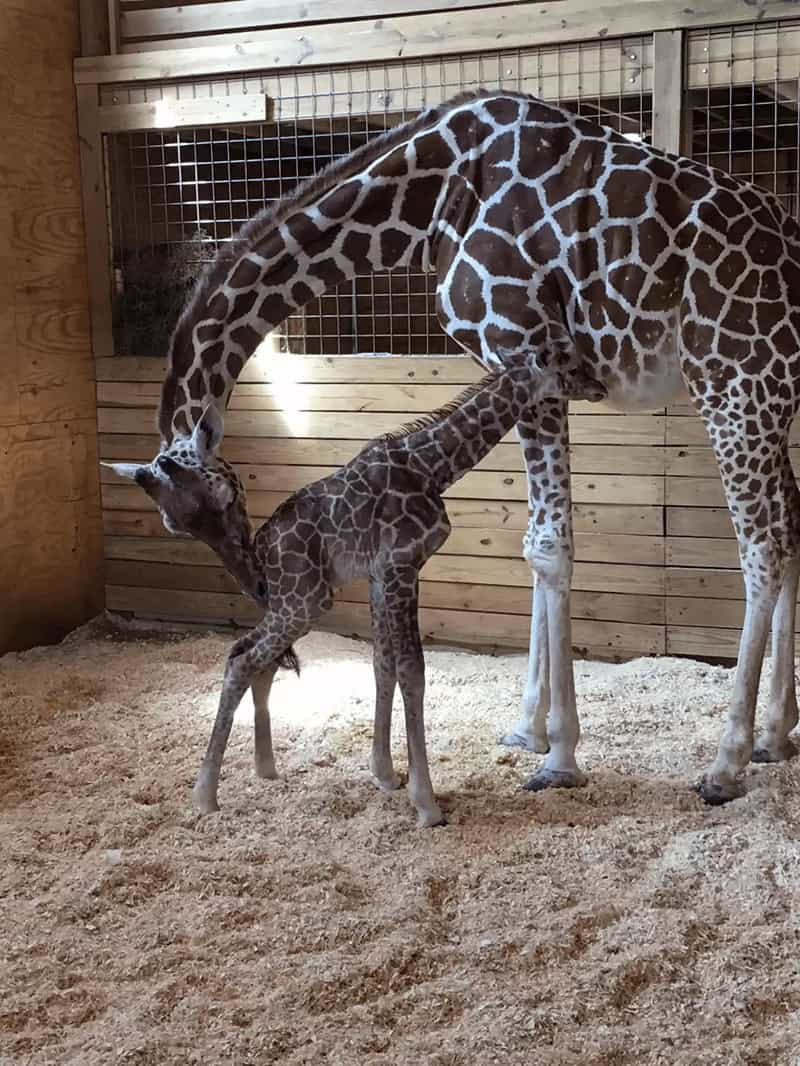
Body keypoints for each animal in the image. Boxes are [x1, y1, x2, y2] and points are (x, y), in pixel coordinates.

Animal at [107, 354, 605, 826]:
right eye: (567, 366)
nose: (599, 386)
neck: (433, 468)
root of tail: (262, 551)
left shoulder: (384, 574)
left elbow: (383, 665)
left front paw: (385, 775)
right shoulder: (401, 564)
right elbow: (412, 671)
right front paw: (426, 804)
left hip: (298, 601)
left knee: (254, 656)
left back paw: (264, 769)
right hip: (304, 601)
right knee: (242, 658)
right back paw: (205, 796)